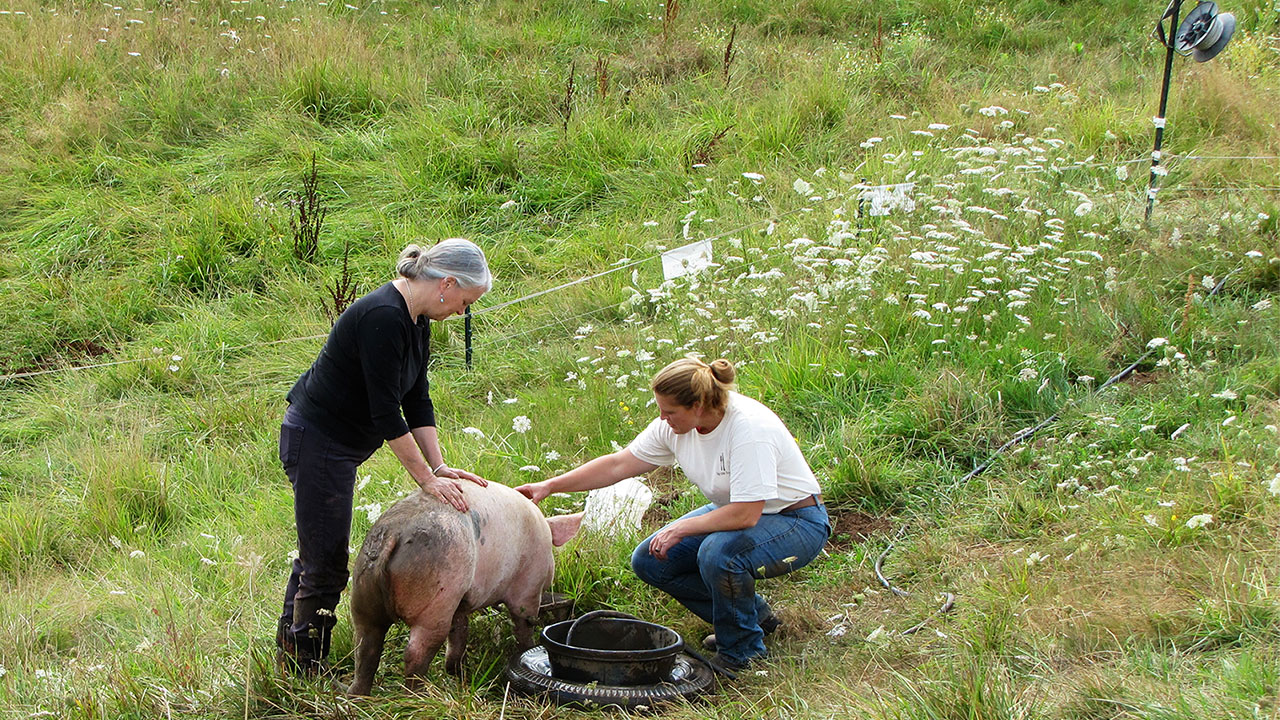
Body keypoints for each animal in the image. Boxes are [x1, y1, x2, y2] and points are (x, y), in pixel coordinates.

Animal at [343, 479, 578, 691]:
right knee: (414, 653)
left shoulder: (461, 602)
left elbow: (459, 634)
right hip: (436, 599)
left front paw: (458, 673)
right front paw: (527, 647)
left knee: (365, 648)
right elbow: (523, 627)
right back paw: (421, 694)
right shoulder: (527, 591)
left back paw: (359, 696)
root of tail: (392, 534)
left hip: (363, 594)